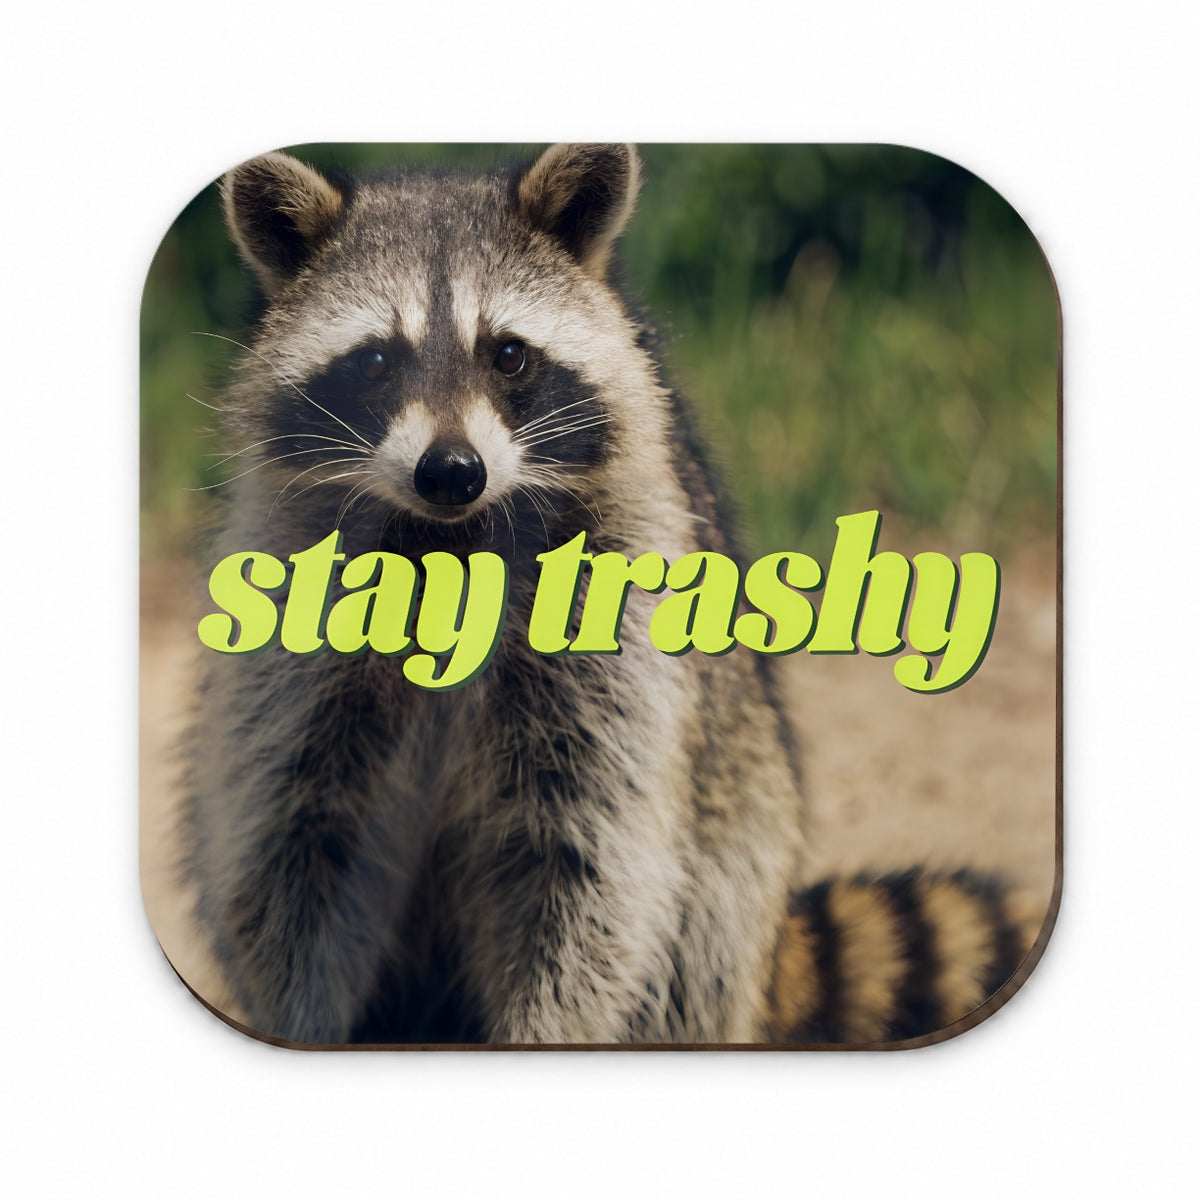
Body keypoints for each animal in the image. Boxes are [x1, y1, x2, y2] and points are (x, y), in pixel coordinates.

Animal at [183, 144, 1033, 1046]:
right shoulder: (294, 638)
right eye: (376, 360)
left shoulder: (616, 619)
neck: (452, 537)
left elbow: (587, 868)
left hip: (733, 859)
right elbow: (289, 851)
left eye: (509, 354)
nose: (451, 471)